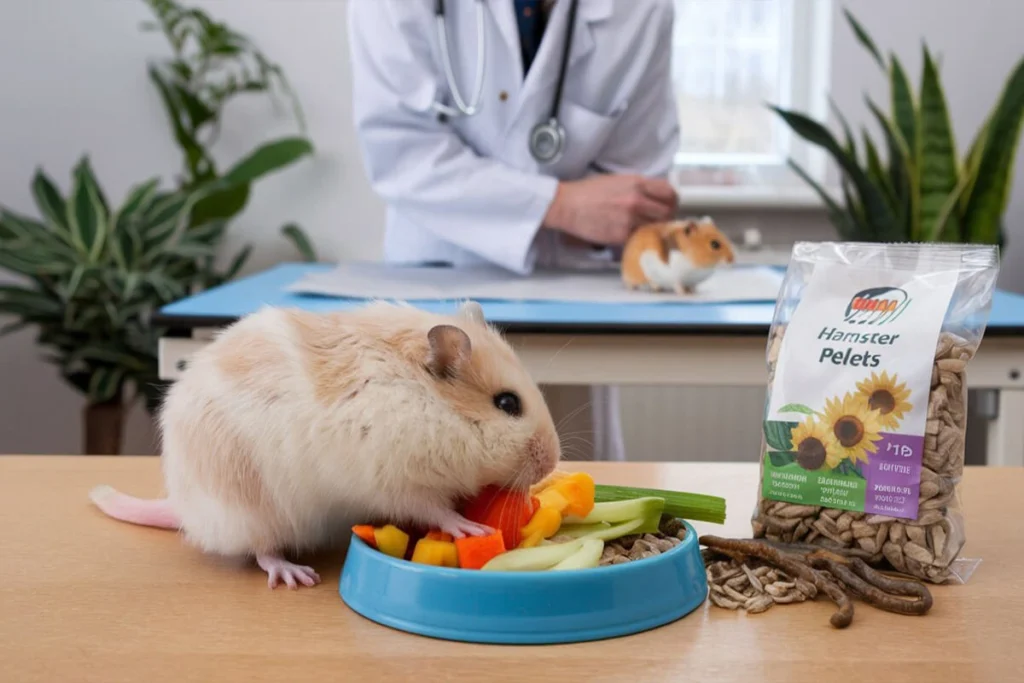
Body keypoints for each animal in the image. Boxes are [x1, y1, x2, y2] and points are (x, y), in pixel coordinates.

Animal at [90, 301, 561, 589]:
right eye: (507, 403)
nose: (553, 462)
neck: (431, 405)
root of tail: (185, 509)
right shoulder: (396, 481)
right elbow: (435, 510)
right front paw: (470, 527)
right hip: (254, 510)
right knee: (262, 550)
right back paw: (295, 575)